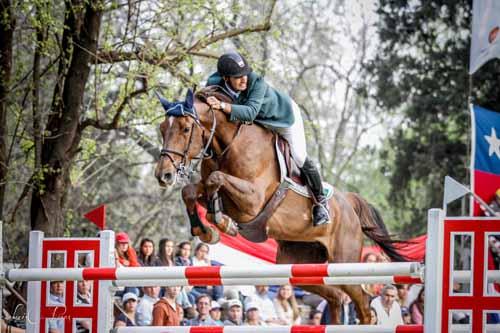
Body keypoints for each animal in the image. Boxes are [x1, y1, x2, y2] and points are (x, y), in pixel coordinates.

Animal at [154, 87, 408, 322]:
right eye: (162, 129)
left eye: (186, 128)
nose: (163, 175)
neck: (227, 145)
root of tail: (349, 204)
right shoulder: (210, 189)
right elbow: (192, 190)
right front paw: (206, 230)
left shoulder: (253, 201)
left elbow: (216, 179)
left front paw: (223, 223)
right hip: (299, 265)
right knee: (336, 297)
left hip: (343, 262)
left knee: (363, 304)